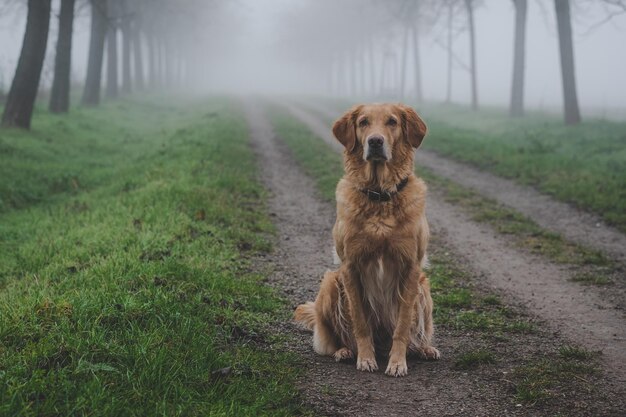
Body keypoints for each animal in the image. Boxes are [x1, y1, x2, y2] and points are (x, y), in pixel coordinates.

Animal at [294, 102, 436, 376]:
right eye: (363, 123)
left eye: (392, 121)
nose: (376, 141)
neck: (379, 195)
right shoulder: (350, 266)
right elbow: (359, 322)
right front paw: (366, 359)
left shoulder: (411, 268)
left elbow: (403, 325)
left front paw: (397, 362)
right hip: (330, 283)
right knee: (335, 338)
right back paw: (345, 351)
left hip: (424, 288)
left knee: (418, 333)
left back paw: (423, 348)